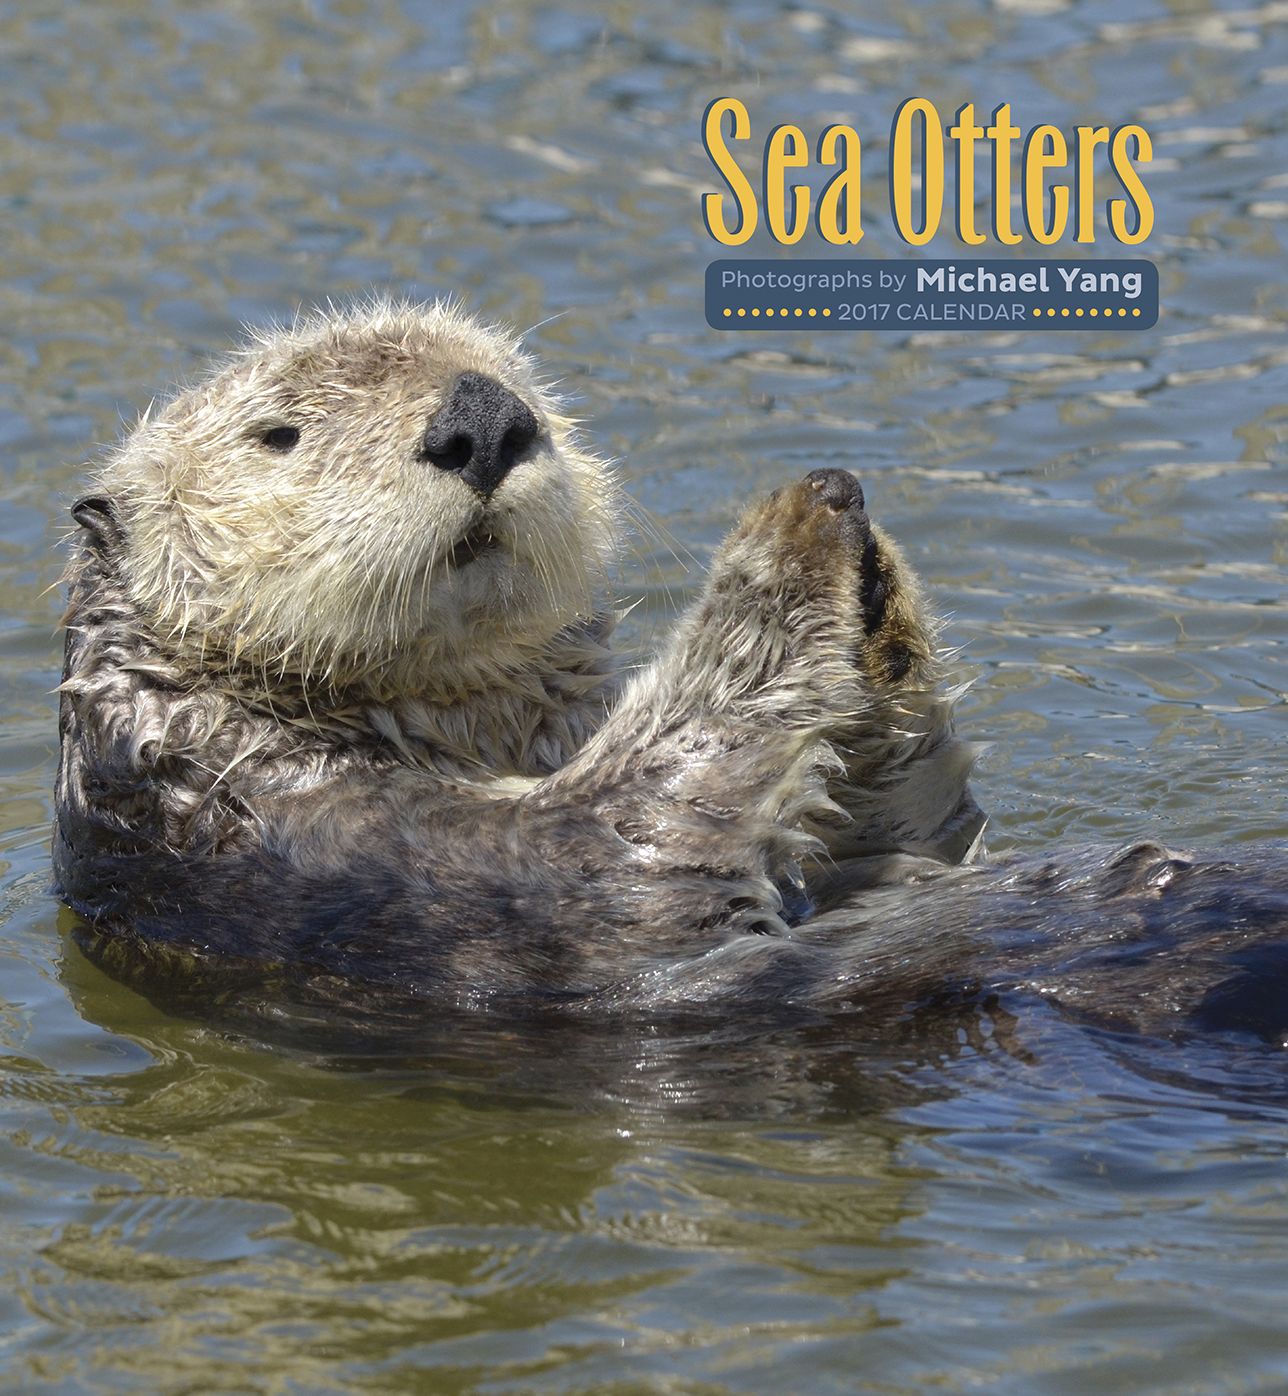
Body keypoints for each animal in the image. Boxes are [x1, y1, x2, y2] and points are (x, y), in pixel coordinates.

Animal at [54, 300, 1288, 1041]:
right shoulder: (375, 862)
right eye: (277, 434)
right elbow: (645, 825)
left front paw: (875, 592)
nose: (483, 418)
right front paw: (789, 536)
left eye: (513, 377)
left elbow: (895, 851)